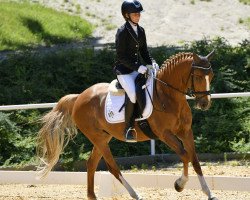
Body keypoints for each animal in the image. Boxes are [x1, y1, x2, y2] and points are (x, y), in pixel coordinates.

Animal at [36, 50, 218, 200]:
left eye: (212, 76)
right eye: (198, 76)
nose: (204, 104)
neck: (169, 96)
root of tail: (79, 97)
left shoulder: (186, 132)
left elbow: (194, 160)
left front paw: (209, 193)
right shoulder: (164, 134)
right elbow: (184, 155)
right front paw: (179, 184)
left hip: (103, 137)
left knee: (91, 163)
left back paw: (93, 196)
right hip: (98, 138)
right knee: (113, 168)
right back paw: (136, 195)